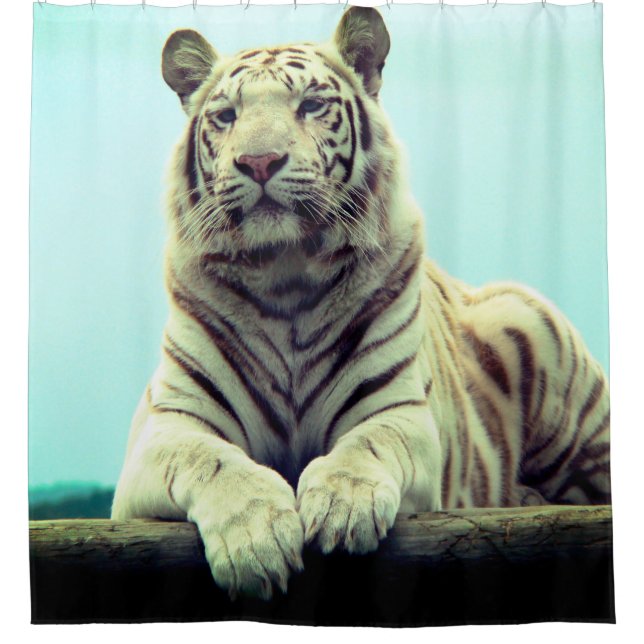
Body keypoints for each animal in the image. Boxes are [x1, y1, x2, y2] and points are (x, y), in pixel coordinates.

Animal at [112, 7, 610, 601]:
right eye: (227, 115)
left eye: (310, 104)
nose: (259, 161)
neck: (284, 276)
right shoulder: (166, 428)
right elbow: (212, 461)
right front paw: (256, 538)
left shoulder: (398, 410)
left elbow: (368, 444)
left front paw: (341, 508)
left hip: (535, 336)